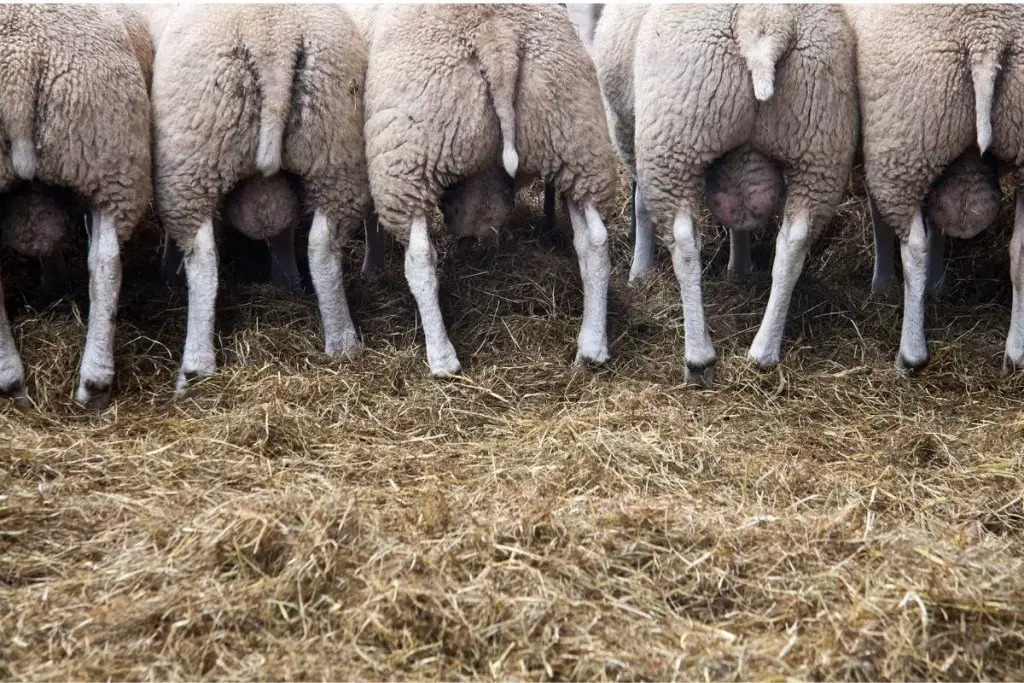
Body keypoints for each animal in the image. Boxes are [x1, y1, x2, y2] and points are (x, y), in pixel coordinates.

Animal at [0, 5, 153, 409]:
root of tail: (23, 60)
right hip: (107, 155)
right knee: (104, 266)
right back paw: (88, 383)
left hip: (108, 155)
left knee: (105, 266)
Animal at [152, 3, 372, 389]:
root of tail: (273, 40)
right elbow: (281, 227)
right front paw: (285, 278)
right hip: (335, 147)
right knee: (324, 248)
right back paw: (342, 342)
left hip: (193, 160)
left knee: (204, 260)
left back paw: (196, 364)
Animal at [362, 2, 614, 376]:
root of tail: (497, 35)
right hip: (573, 138)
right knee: (594, 242)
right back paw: (592, 348)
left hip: (408, 157)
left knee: (420, 257)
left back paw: (442, 359)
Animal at [602, 5, 860, 387]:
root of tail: (763, 25)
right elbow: (740, 217)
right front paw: (739, 269)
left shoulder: (626, 129)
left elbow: (640, 205)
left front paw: (639, 271)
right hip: (819, 143)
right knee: (793, 244)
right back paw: (763, 351)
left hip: (674, 137)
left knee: (685, 243)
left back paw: (698, 357)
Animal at [851, 5, 1024, 370]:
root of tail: (986, 37)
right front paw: (938, 283)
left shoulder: (874, 136)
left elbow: (879, 210)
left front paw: (882, 283)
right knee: (1020, 253)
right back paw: (1016, 354)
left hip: (905, 138)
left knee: (915, 247)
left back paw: (910, 353)